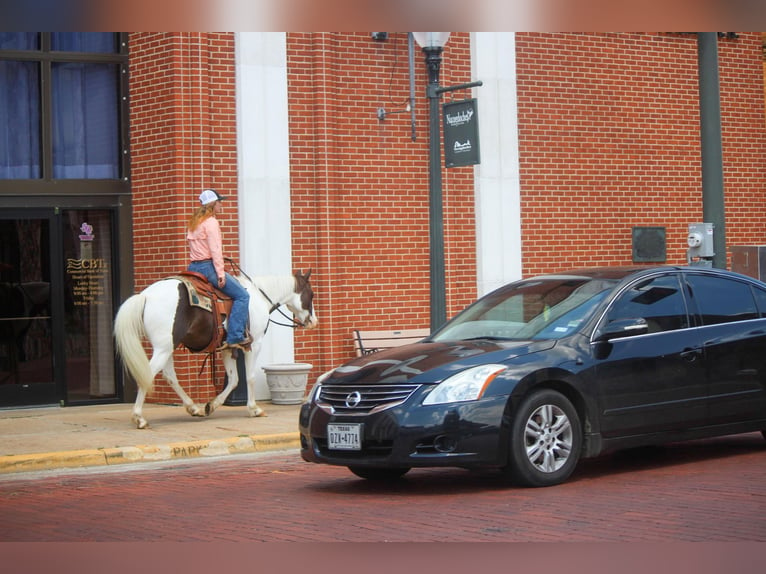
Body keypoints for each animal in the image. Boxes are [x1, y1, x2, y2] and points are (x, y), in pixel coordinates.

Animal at [114, 268, 318, 428]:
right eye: (312, 294)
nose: (313, 322)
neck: (259, 297)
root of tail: (146, 296)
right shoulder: (254, 344)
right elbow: (250, 377)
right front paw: (254, 409)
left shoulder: (227, 349)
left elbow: (234, 379)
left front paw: (210, 406)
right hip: (164, 348)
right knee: (149, 374)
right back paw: (139, 417)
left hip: (166, 346)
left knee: (170, 376)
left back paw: (193, 408)